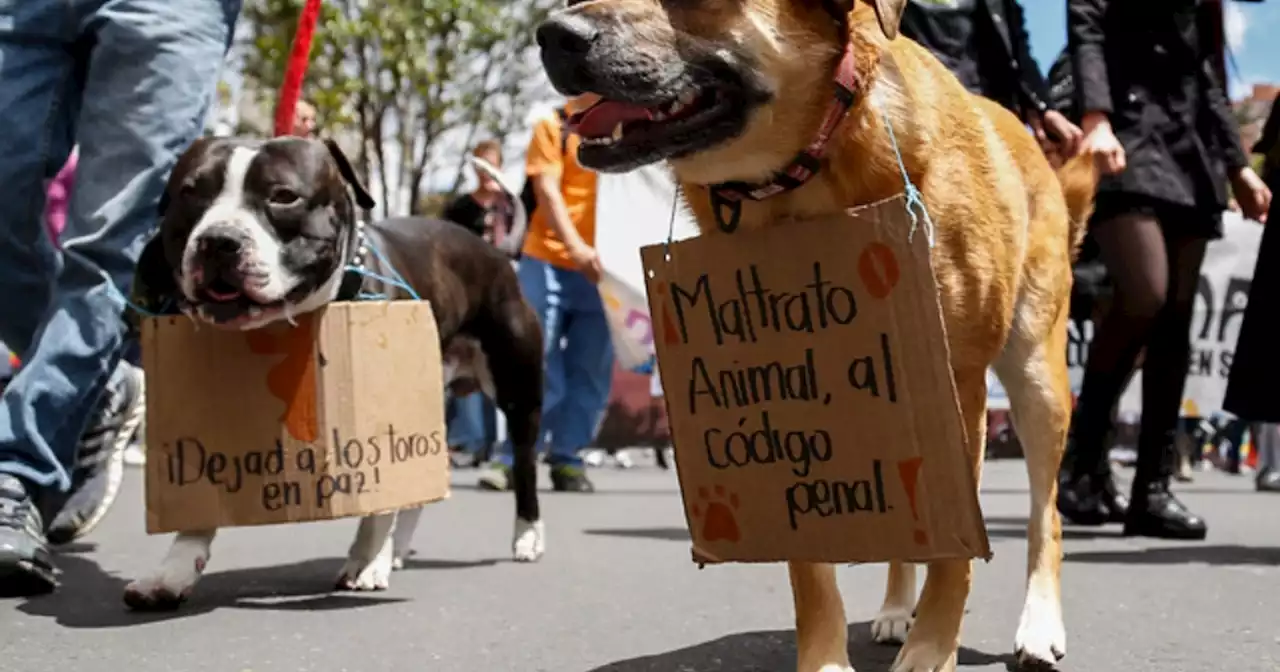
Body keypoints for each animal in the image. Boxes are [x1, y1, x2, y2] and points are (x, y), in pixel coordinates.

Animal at [117, 136, 542, 606]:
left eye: (284, 196)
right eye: (191, 193)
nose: (218, 239)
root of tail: (497, 252)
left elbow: (379, 502)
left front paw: (368, 560)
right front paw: (173, 571)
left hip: (518, 391)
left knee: (524, 464)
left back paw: (526, 537)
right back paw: (399, 549)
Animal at [535, 1, 1095, 670]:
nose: (552, 36)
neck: (805, 174)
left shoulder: (956, 387)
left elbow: (957, 556)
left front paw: (934, 648)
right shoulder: (790, 398)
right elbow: (811, 566)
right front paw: (828, 657)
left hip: (1036, 380)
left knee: (1044, 517)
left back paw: (1037, 623)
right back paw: (896, 608)